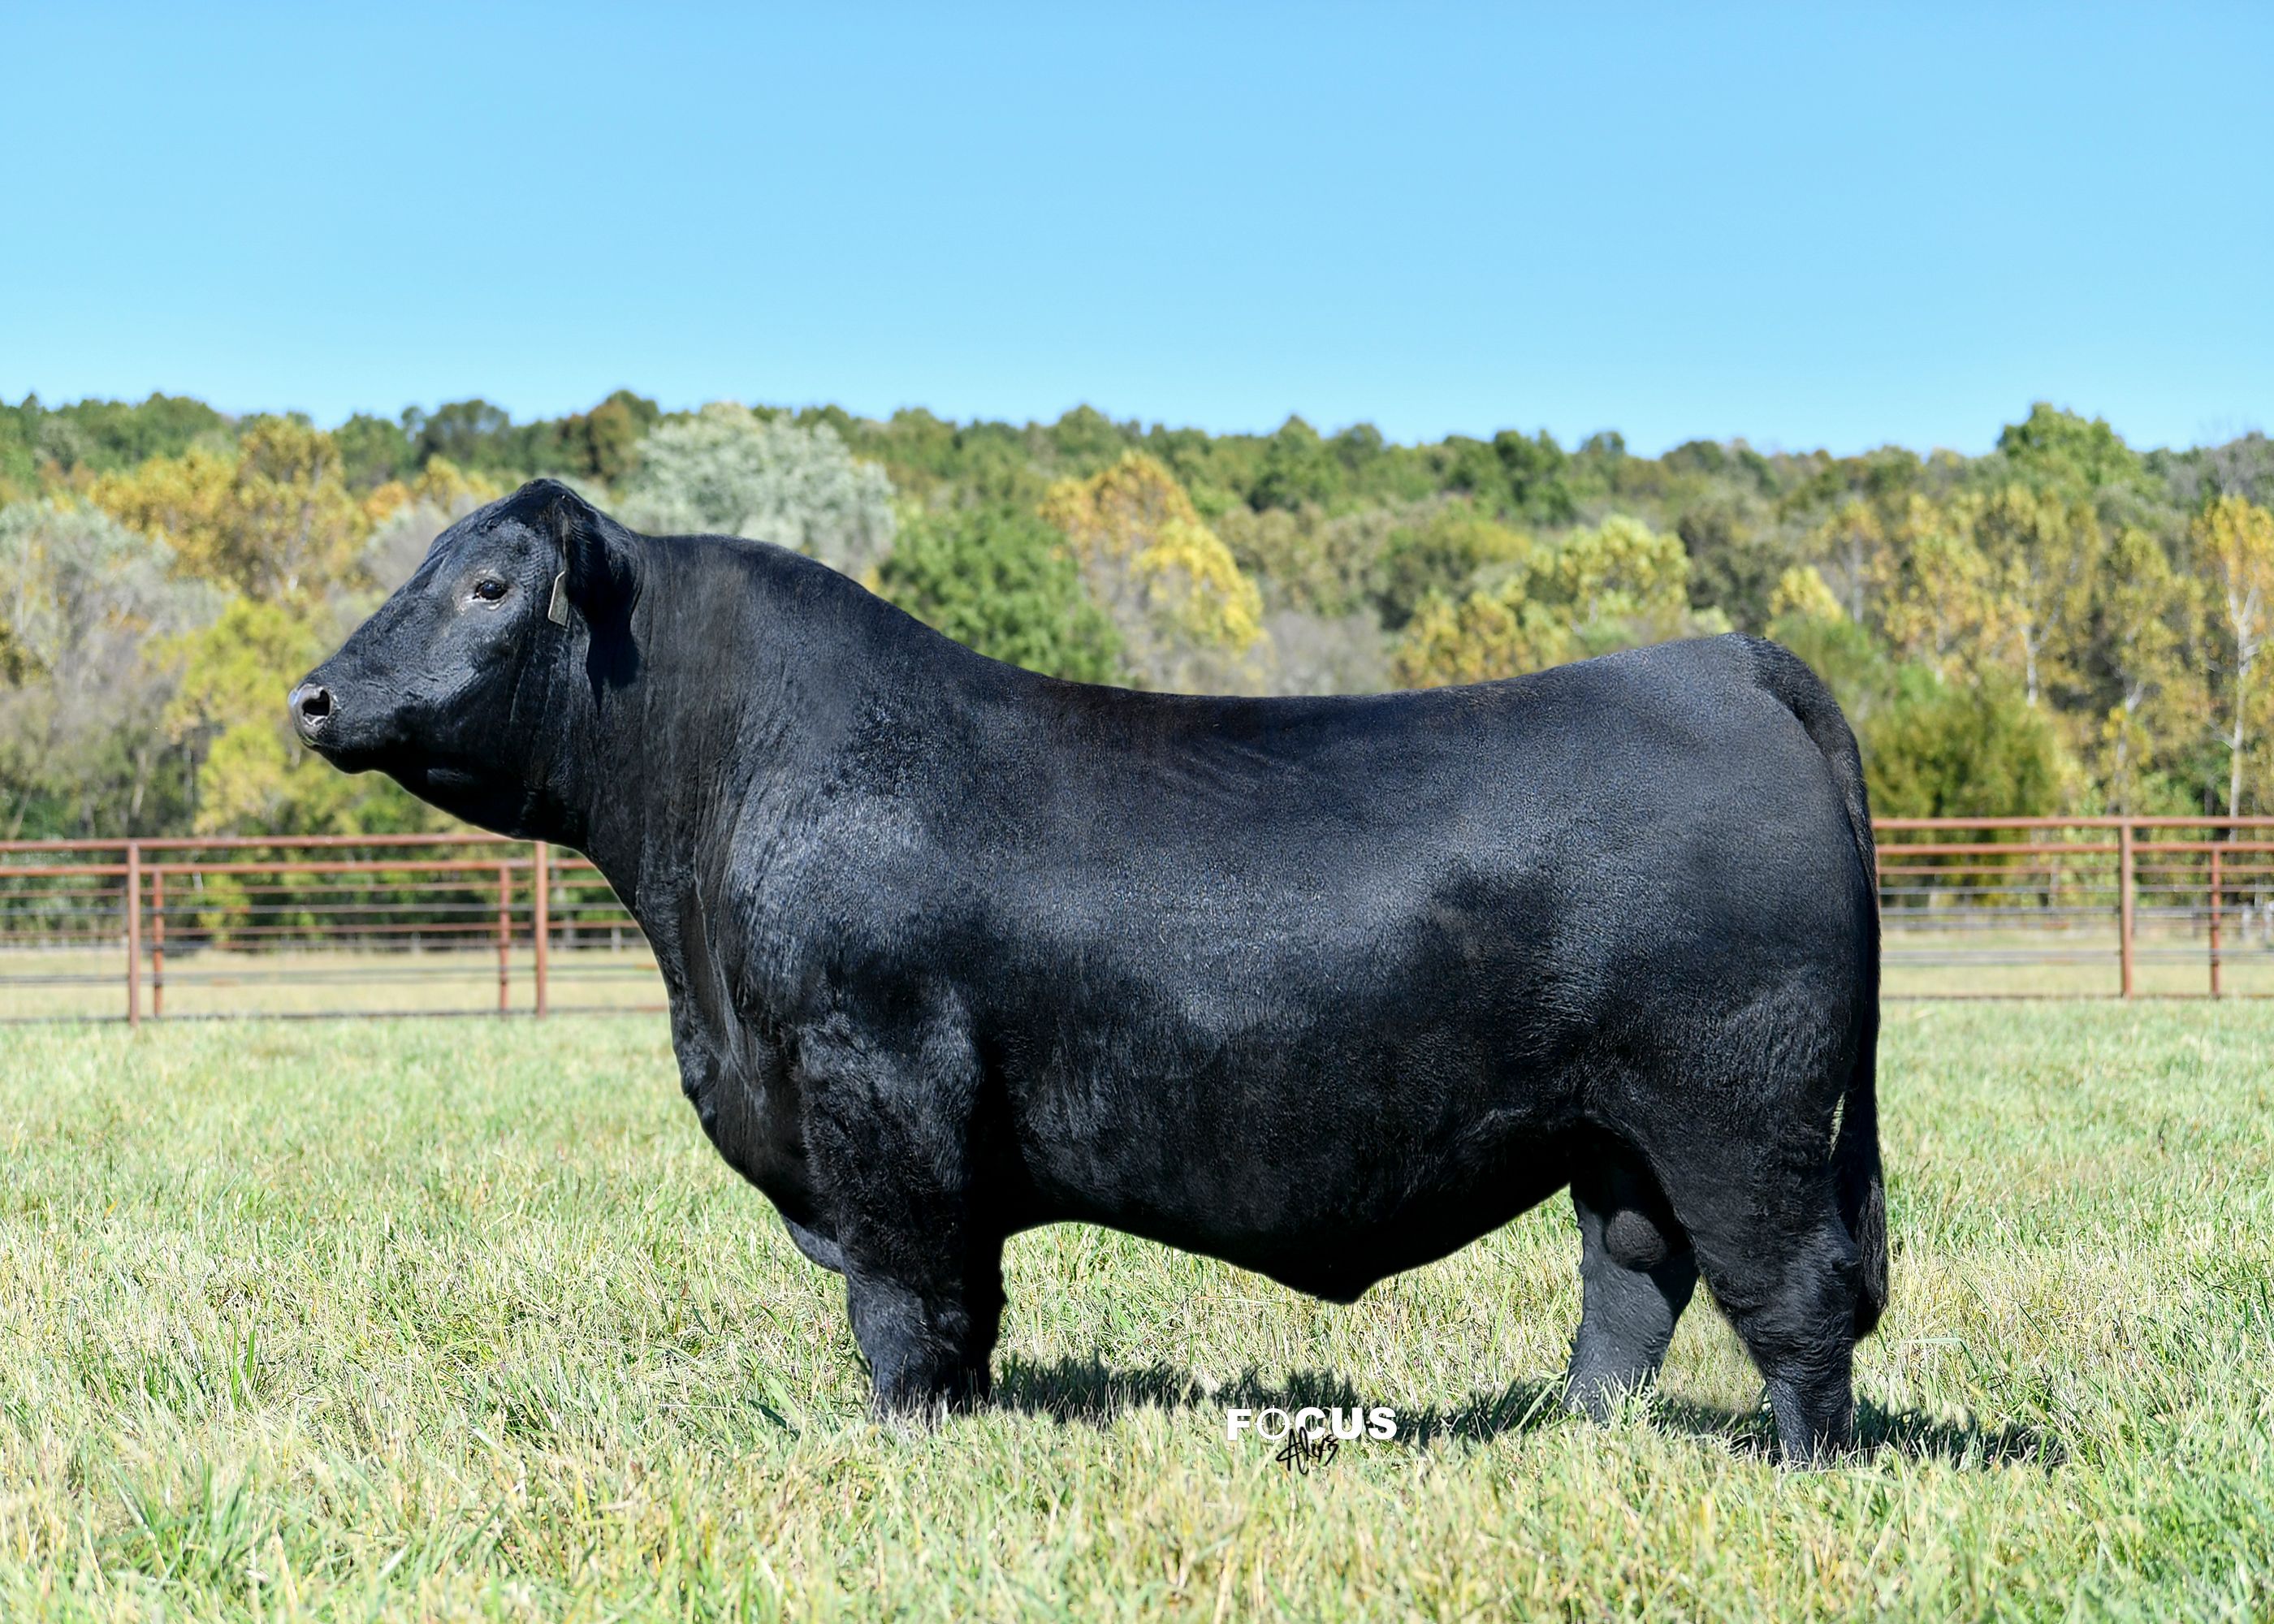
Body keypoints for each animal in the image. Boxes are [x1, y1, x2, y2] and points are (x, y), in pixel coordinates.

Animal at [291, 480, 1887, 1463]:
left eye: (490, 584)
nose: (314, 696)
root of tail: (1716, 662)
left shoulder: (879, 1089)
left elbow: (906, 1301)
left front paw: (903, 1442)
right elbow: (970, 1308)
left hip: (1739, 1109)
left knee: (1796, 1292)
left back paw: (1799, 1468)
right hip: (1617, 1130)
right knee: (1631, 1286)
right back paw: (1569, 1442)